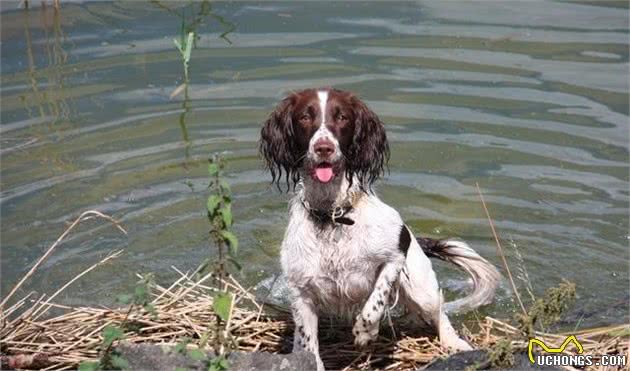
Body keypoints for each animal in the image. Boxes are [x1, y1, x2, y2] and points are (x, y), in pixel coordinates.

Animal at [260, 88, 502, 371]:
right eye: (304, 117)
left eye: (342, 117)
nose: (324, 147)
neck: (333, 217)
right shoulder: (301, 292)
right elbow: (308, 344)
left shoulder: (394, 256)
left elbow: (375, 300)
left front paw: (365, 333)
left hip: (422, 289)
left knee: (440, 312)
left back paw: (454, 343)